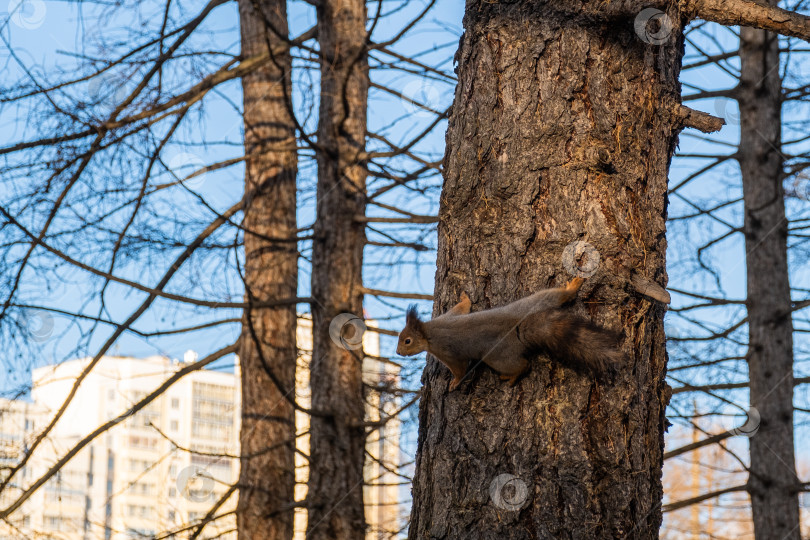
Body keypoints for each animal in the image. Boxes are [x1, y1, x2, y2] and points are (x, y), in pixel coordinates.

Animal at [396, 280, 620, 390]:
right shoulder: (450, 315)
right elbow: (463, 307)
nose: (398, 353)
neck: (429, 331)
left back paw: (512, 376)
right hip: (531, 304)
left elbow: (459, 368)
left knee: (522, 365)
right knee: (556, 296)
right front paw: (465, 297)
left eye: (407, 341)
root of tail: (518, 326)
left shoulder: (446, 350)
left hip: (498, 356)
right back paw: (572, 286)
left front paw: (455, 383)